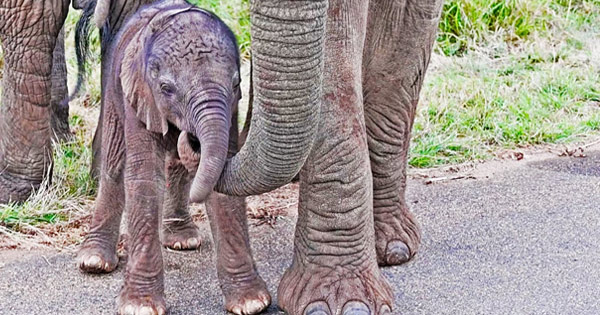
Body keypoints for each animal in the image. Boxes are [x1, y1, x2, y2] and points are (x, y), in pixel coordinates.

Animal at [77, 1, 270, 314]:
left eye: (235, 83)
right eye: (166, 88)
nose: (190, 138)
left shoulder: (230, 109)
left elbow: (224, 183)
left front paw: (252, 303)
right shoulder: (140, 95)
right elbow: (145, 180)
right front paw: (140, 307)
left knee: (175, 165)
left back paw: (183, 240)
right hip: (115, 92)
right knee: (114, 163)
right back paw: (94, 260)